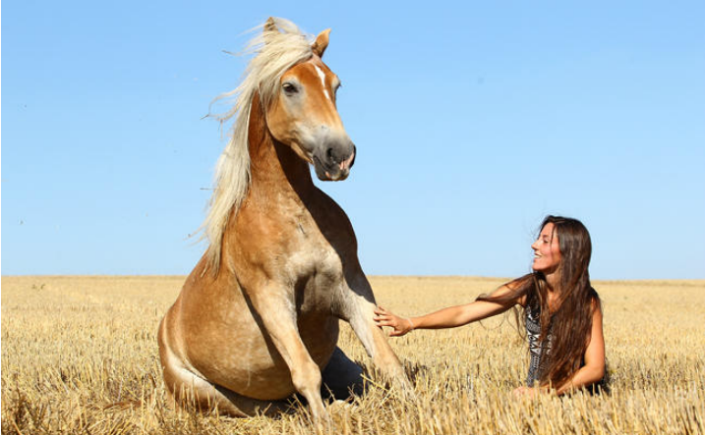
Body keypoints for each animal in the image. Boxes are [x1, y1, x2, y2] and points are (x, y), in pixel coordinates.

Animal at [156, 17, 404, 422]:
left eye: (335, 84)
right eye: (290, 86)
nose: (340, 155)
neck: (292, 213)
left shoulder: (351, 286)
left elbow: (387, 361)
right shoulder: (271, 296)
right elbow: (304, 371)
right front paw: (324, 424)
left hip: (339, 361)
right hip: (209, 394)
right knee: (271, 406)